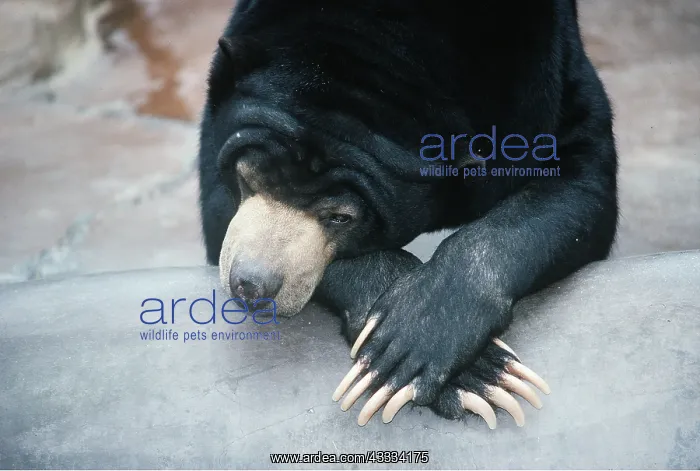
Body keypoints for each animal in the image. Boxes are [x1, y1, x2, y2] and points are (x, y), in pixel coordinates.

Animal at [198, 0, 618, 428]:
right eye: (248, 177)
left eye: (342, 218)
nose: (252, 287)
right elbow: (219, 213)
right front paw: (475, 375)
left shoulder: (546, 70)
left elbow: (582, 178)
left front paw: (422, 344)